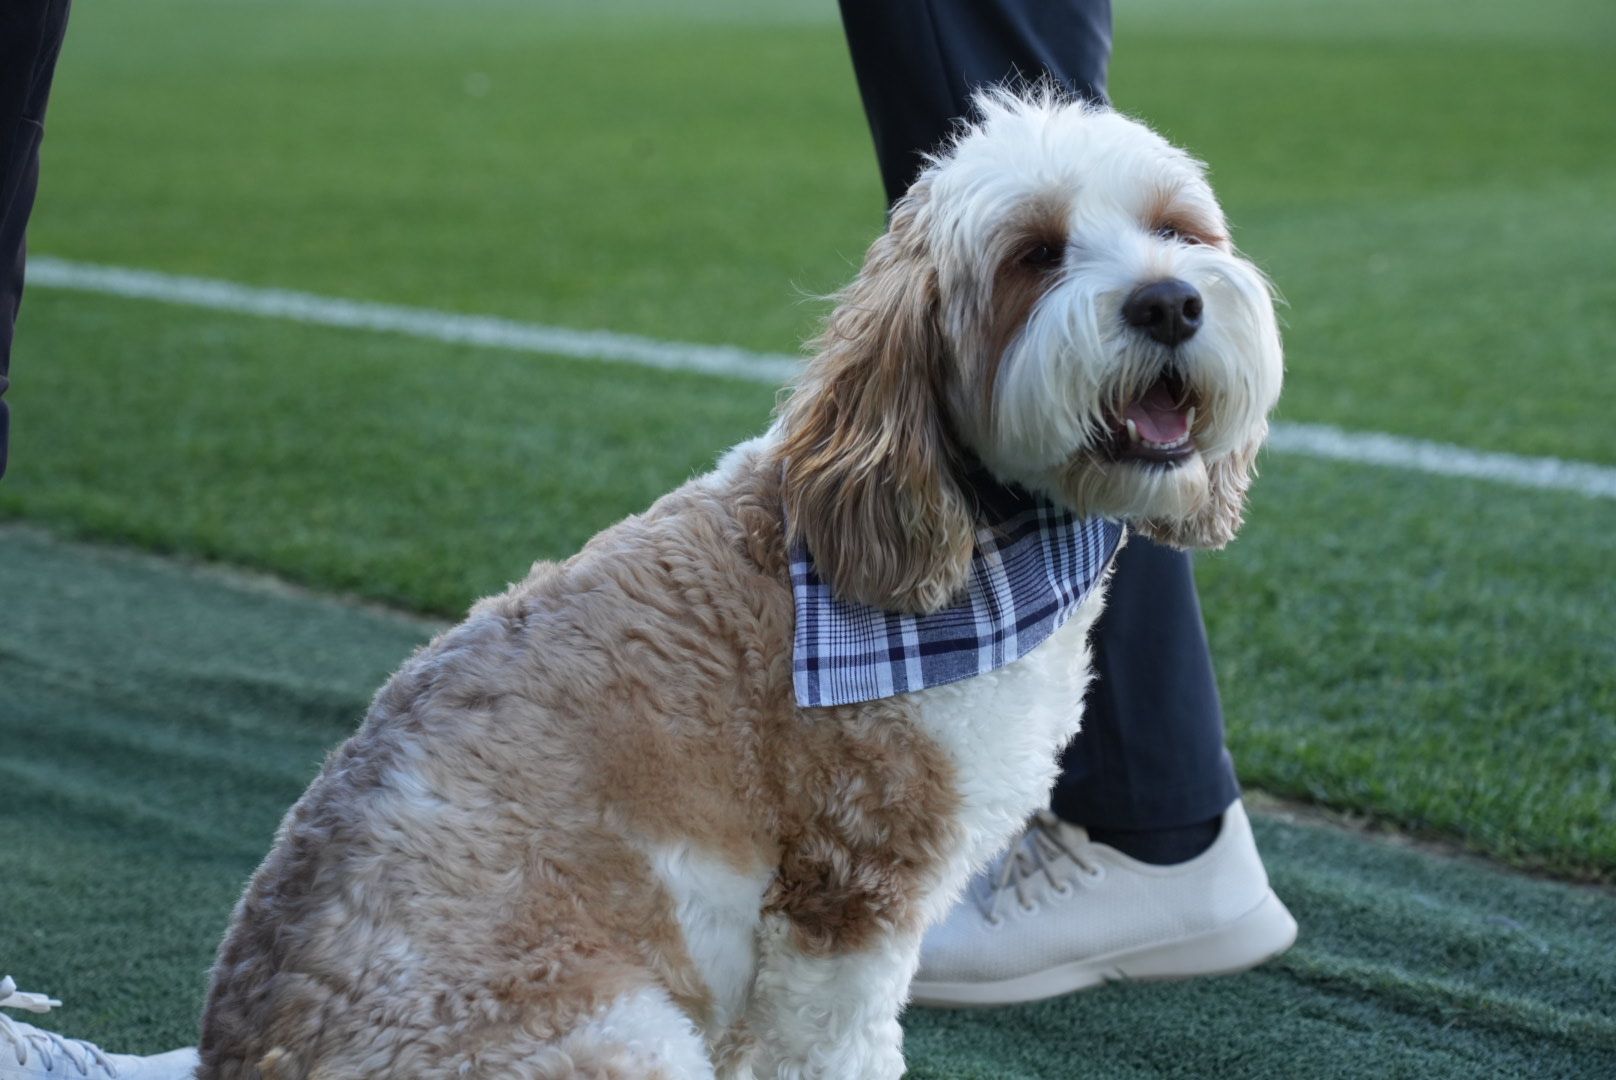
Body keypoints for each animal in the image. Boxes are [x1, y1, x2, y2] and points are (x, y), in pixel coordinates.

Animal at [198, 90, 1286, 1080]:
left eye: (1175, 230)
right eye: (1035, 254)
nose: (1168, 301)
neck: (980, 545)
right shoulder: (848, 888)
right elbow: (835, 1048)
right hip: (611, 1035)